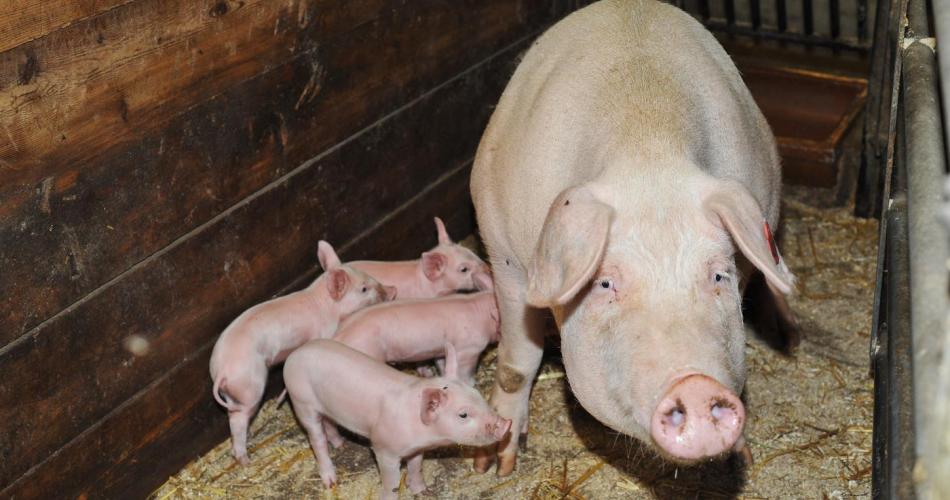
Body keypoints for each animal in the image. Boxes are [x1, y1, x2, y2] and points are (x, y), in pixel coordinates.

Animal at [209, 241, 396, 464]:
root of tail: (222, 370)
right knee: (238, 418)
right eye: (364, 289)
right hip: (251, 385)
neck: (326, 305)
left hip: (232, 392)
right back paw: (245, 460)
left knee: (232, 415)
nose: (391, 291)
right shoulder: (325, 331)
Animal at [283, 340, 511, 499]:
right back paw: (330, 481)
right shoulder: (383, 449)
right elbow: (390, 481)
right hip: (302, 402)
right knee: (317, 439)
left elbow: (416, 468)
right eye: (463, 414)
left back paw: (341, 445)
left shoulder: (417, 449)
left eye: (478, 394)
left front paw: (423, 492)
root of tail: (294, 354)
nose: (506, 424)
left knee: (329, 423)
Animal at [333, 271, 499, 386]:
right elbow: (465, 370)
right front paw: (470, 383)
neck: (482, 314)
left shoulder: (439, 349)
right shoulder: (468, 349)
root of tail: (337, 338)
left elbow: (442, 364)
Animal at [469, 0, 796, 474]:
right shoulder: (504, 254)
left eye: (718, 276)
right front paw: (494, 466)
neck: (647, 148)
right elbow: (516, 362)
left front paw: (742, 457)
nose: (695, 385)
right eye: (606, 283)